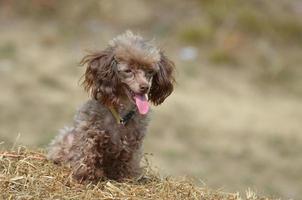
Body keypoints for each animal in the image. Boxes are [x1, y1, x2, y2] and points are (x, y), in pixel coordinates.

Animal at [47, 30, 175, 181]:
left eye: (150, 72)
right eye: (128, 71)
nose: (145, 87)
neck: (121, 114)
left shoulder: (133, 143)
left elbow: (128, 162)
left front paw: (127, 177)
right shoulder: (88, 129)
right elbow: (86, 151)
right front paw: (85, 174)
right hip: (66, 137)